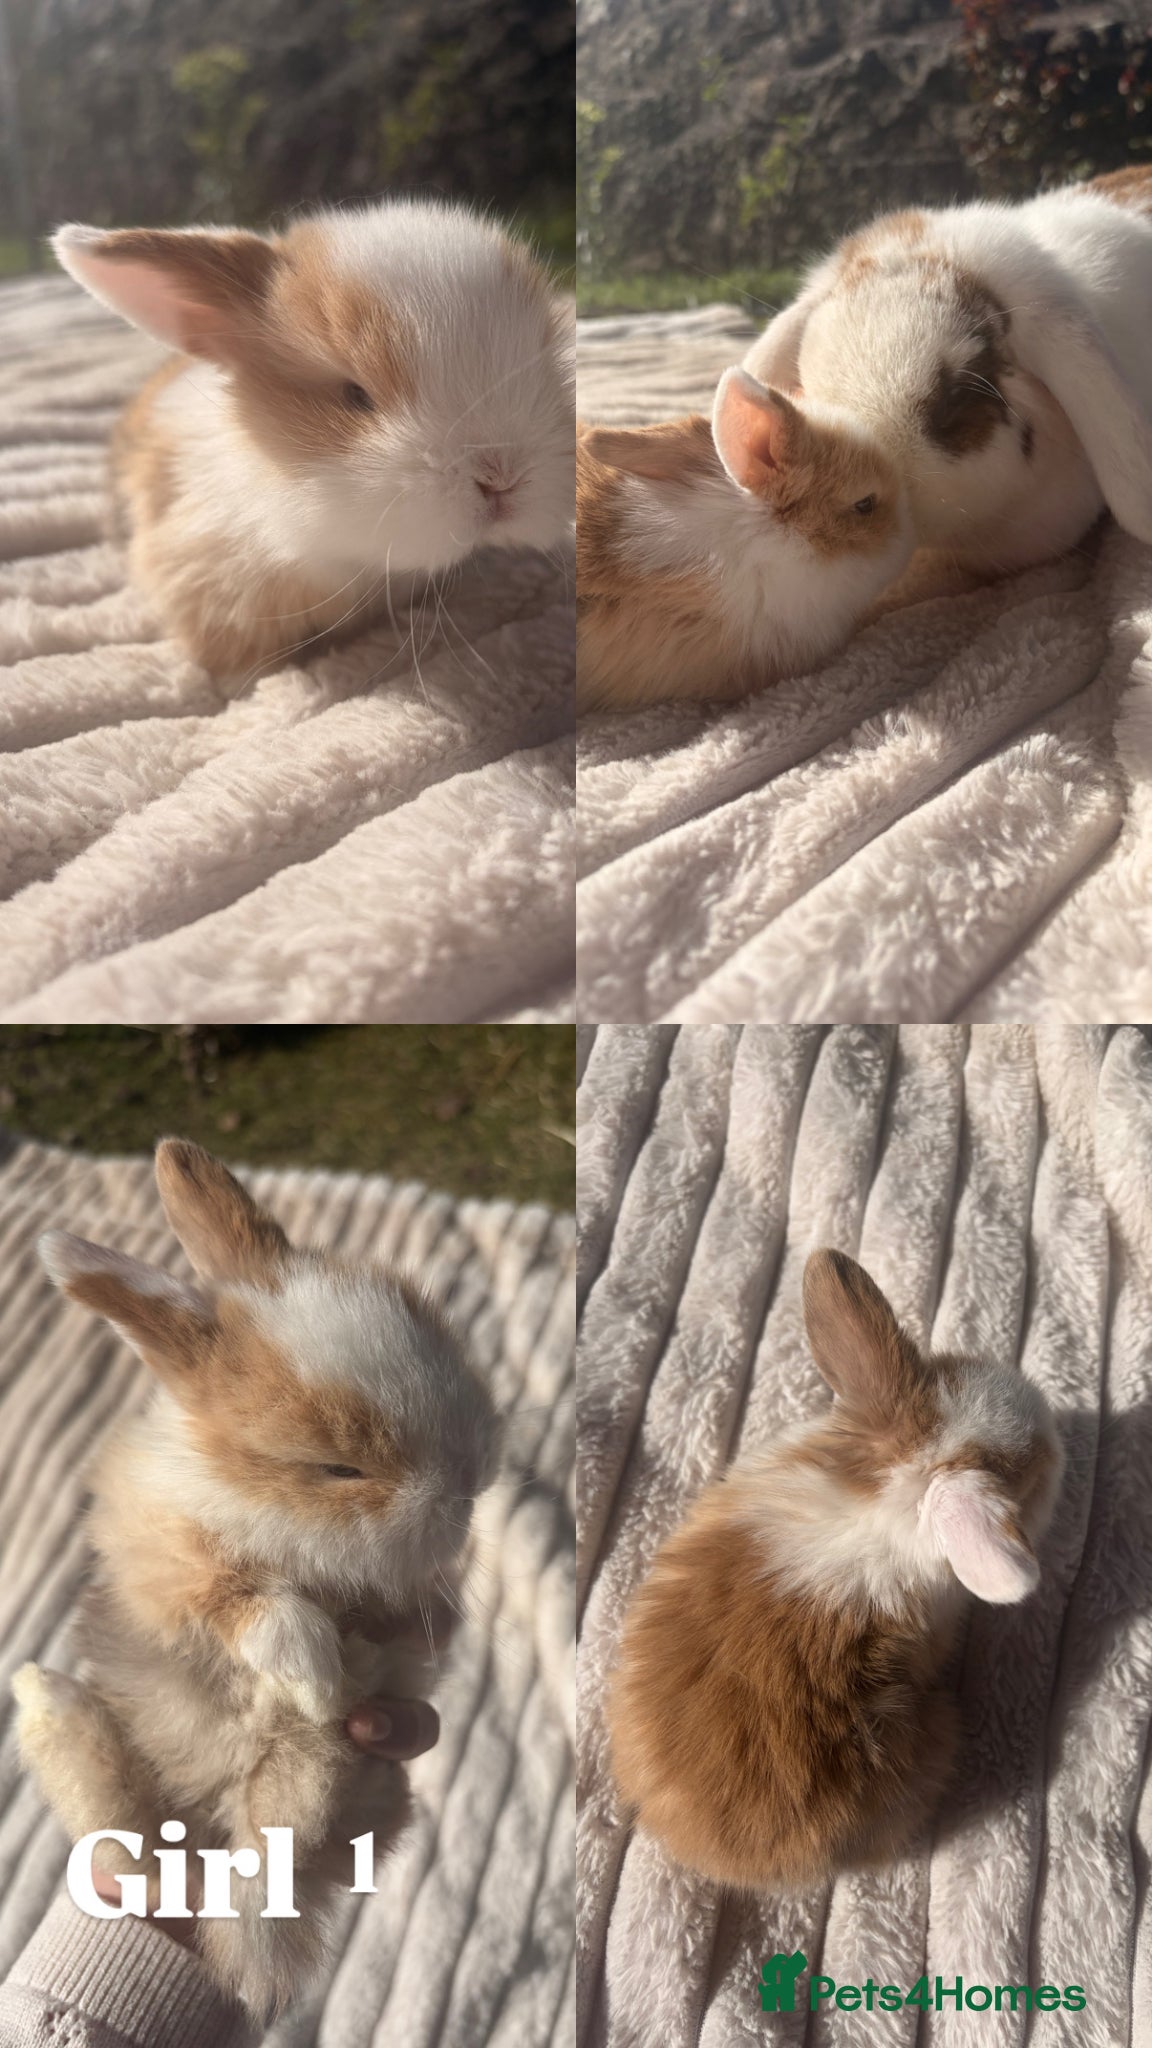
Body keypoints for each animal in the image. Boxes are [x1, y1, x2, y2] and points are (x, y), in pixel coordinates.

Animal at [12, 1138, 499, 2019]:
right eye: (338, 1468)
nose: (475, 1481)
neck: (248, 1493)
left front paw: (348, 1669)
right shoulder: (160, 1557)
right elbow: (245, 1602)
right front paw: (314, 1674)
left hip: (337, 1790)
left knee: (278, 1842)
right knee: (142, 1848)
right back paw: (46, 1695)